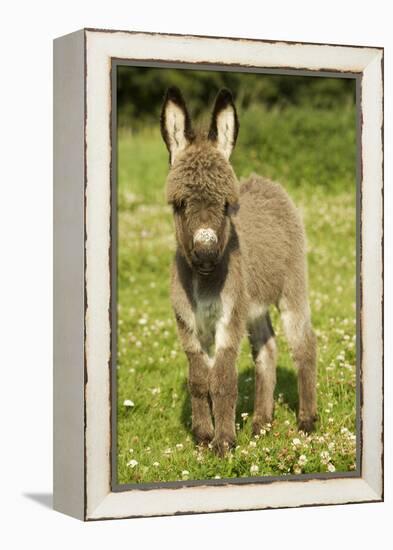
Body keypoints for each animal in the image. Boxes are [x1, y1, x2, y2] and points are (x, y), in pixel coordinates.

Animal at [159, 86, 316, 458]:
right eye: (179, 204)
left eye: (226, 205)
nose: (205, 254)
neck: (202, 282)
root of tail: (267, 183)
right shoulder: (188, 324)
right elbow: (199, 380)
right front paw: (203, 437)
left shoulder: (228, 319)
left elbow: (223, 379)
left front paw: (224, 442)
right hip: (253, 306)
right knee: (268, 351)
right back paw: (261, 423)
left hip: (291, 289)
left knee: (304, 345)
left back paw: (306, 421)